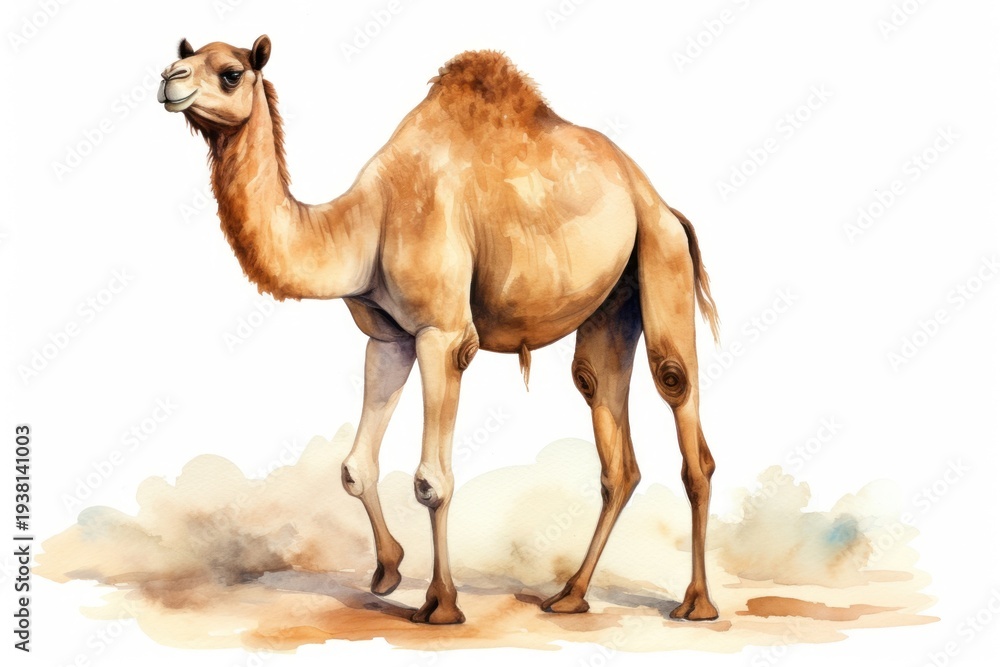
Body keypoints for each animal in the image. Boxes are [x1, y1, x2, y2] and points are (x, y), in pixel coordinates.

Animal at [158, 35, 722, 624]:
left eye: (230, 72)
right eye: (187, 56)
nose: (169, 79)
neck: (370, 218)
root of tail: (658, 200)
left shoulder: (444, 334)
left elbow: (432, 481)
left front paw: (441, 603)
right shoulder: (388, 337)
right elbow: (355, 467)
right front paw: (387, 572)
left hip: (662, 252)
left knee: (679, 392)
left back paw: (697, 603)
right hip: (613, 302)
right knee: (606, 419)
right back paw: (569, 595)